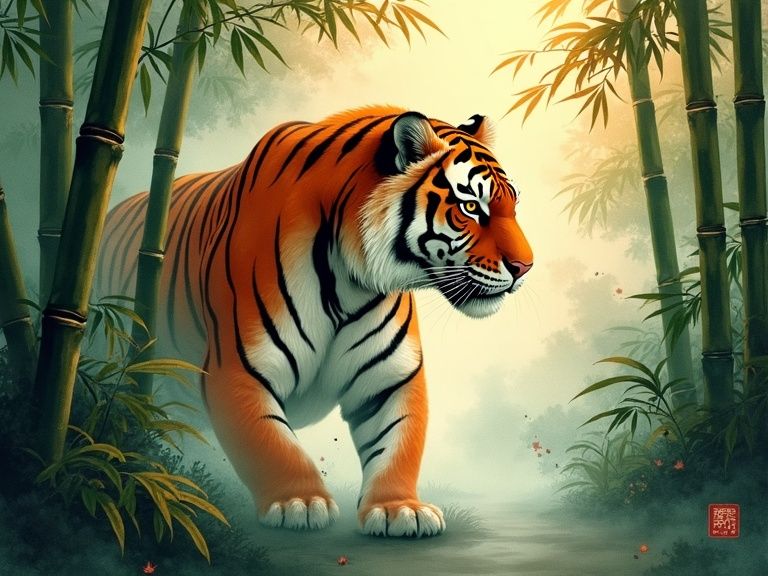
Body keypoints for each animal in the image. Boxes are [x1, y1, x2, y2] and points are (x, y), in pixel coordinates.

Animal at [97, 105, 533, 538]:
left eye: (513, 205)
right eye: (471, 208)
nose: (525, 267)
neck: (349, 281)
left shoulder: (393, 377)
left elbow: (398, 443)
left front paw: (399, 509)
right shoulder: (238, 368)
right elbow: (272, 443)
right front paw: (299, 502)